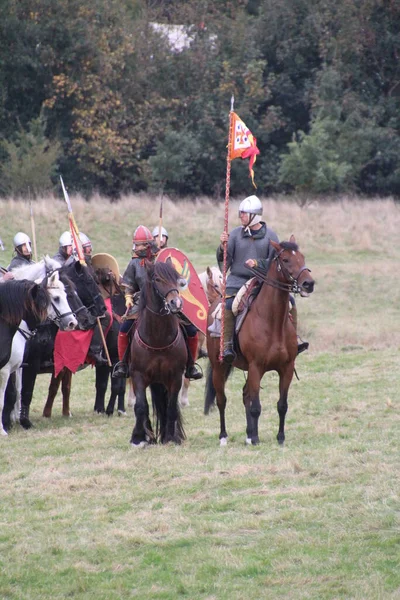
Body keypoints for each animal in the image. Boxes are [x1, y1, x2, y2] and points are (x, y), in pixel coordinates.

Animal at [130, 260, 189, 448]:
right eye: (157, 279)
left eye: (177, 279)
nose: (176, 303)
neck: (158, 338)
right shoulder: (138, 375)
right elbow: (141, 406)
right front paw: (138, 438)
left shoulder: (175, 376)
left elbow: (170, 407)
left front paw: (171, 437)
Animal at [206, 237, 316, 448]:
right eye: (286, 260)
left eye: (302, 257)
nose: (309, 283)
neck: (271, 321)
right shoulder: (256, 367)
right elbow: (256, 406)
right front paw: (256, 438)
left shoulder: (286, 368)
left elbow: (282, 405)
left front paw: (280, 438)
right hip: (219, 366)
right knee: (222, 400)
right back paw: (224, 436)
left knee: (245, 395)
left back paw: (249, 434)